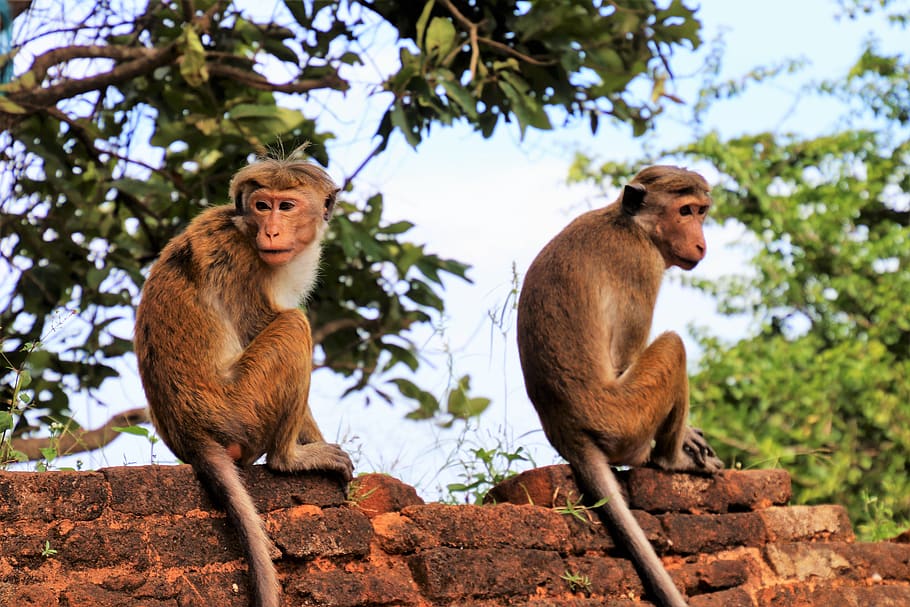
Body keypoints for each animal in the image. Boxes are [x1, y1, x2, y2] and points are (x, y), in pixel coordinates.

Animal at [133, 152, 353, 607]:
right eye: (262, 205)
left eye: (286, 206)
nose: (271, 230)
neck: (246, 232)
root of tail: (192, 436)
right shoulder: (244, 265)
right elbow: (263, 324)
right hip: (241, 409)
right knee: (293, 325)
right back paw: (290, 458)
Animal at [516, 165, 723, 607]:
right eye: (684, 211)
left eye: (700, 212)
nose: (701, 242)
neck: (631, 225)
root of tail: (568, 433)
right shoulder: (641, 266)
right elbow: (627, 360)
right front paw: (685, 441)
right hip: (628, 420)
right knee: (673, 346)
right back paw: (671, 459)